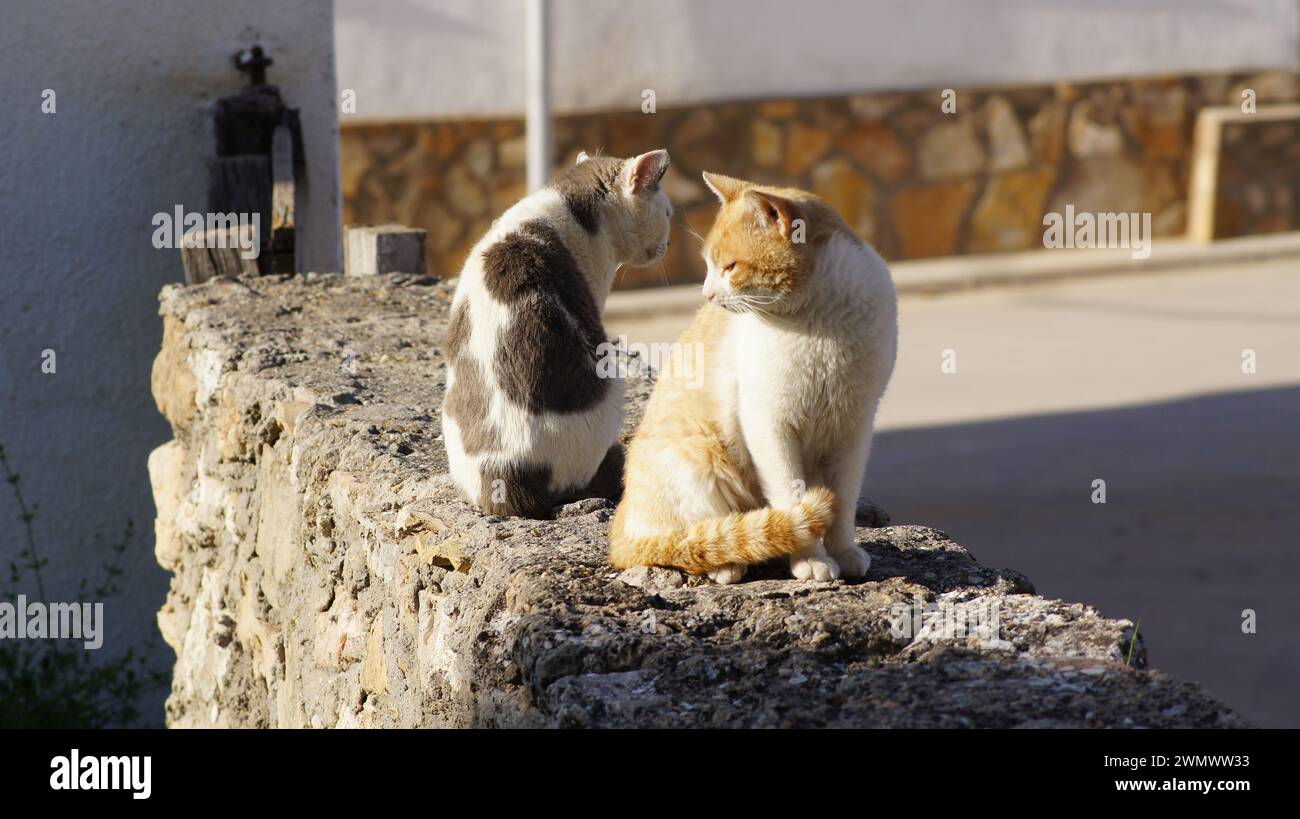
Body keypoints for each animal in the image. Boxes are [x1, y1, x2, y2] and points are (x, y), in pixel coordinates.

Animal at [605, 171, 894, 585]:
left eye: (730, 267)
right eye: (710, 266)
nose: (707, 294)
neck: (822, 322)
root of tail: (620, 525)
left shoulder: (854, 427)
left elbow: (843, 500)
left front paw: (842, 552)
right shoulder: (770, 425)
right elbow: (794, 497)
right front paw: (810, 558)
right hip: (700, 458)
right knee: (688, 540)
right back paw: (726, 562)